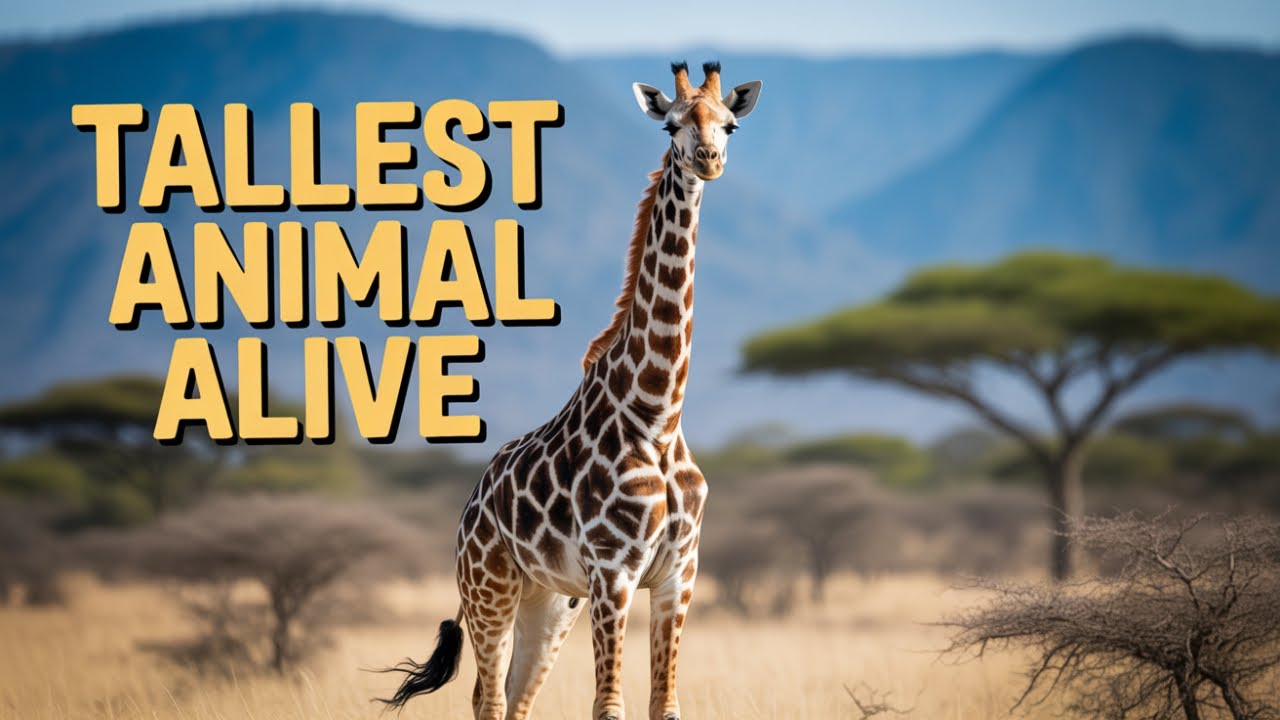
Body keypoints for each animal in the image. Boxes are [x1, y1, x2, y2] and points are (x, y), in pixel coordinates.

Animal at [381, 61, 762, 720]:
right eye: (670, 124)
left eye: (729, 124)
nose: (708, 159)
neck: (658, 415)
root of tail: (470, 503)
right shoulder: (613, 572)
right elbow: (608, 708)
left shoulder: (678, 575)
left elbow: (666, 706)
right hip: (489, 589)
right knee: (487, 698)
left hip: (552, 602)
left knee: (513, 699)